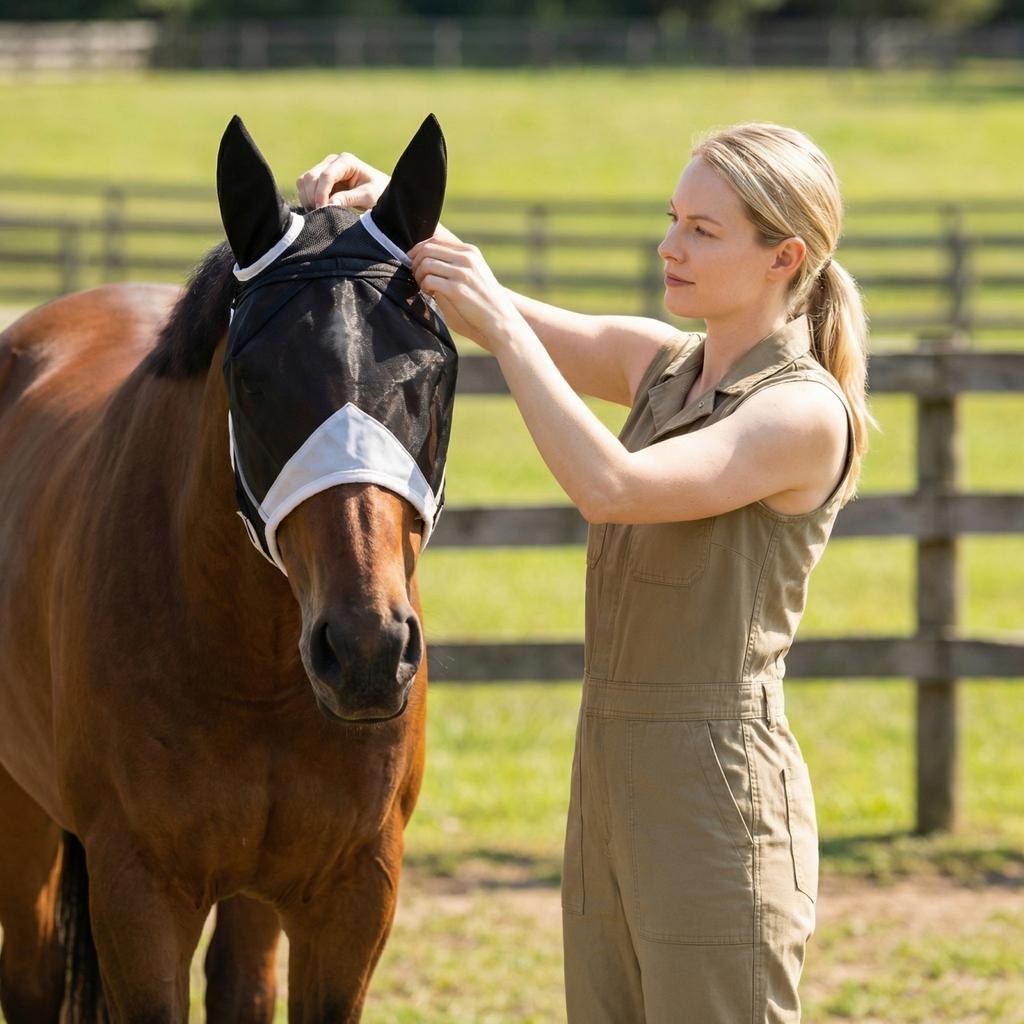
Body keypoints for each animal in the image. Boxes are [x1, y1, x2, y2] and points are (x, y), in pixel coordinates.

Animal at [0, 113, 457, 1022]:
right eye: (252, 378)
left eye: (431, 374)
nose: (367, 653)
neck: (255, 669)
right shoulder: (140, 893)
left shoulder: (354, 893)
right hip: (19, 811)